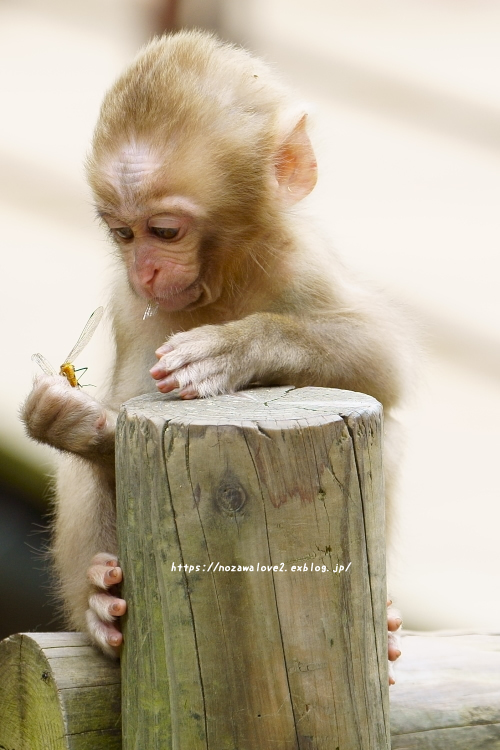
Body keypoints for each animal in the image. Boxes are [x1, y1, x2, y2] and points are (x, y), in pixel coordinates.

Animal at [21, 30, 408, 680]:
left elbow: (385, 359)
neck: (223, 285)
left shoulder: (304, 262)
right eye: (123, 234)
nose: (146, 270)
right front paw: (76, 423)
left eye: (164, 231)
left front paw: (229, 348)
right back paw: (99, 608)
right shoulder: (129, 306)